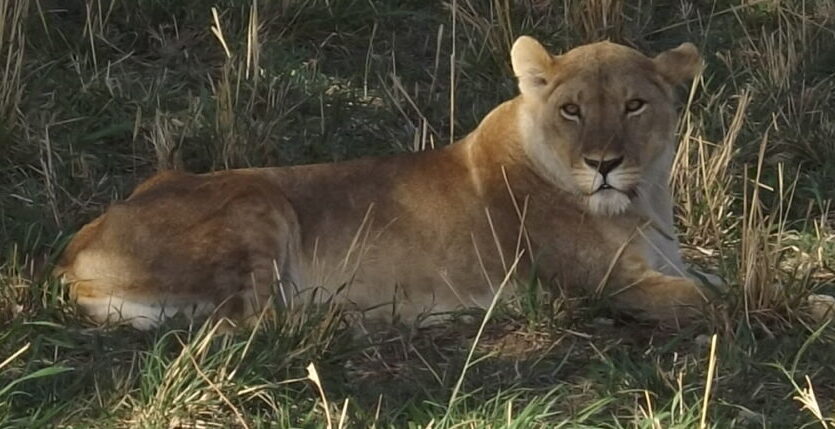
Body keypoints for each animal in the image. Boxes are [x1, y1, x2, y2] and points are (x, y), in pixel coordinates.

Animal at [55, 36, 714, 330]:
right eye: (572, 110)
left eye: (633, 105)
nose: (604, 163)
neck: (644, 203)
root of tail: (72, 252)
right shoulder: (605, 287)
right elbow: (713, 303)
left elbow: (714, 282)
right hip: (258, 200)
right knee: (250, 324)